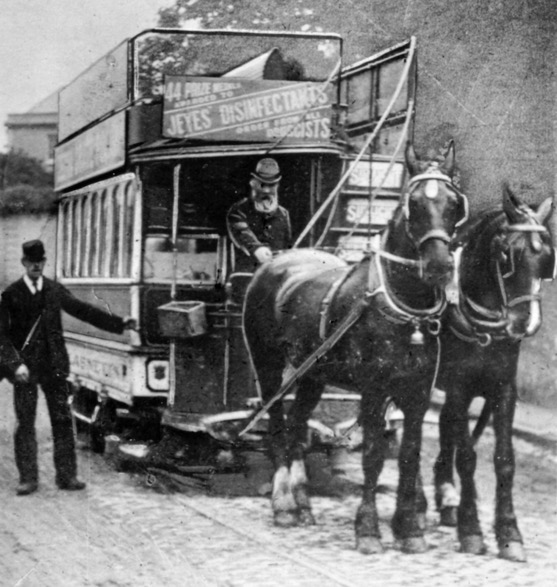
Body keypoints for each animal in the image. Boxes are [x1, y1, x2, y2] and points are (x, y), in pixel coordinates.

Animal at [241, 140, 466, 552]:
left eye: (454, 202)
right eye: (413, 203)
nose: (439, 266)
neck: (404, 308)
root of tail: (275, 263)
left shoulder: (417, 392)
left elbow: (409, 455)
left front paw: (409, 530)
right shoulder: (374, 391)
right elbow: (374, 457)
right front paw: (368, 530)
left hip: (311, 374)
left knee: (297, 426)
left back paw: (303, 502)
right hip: (268, 366)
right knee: (278, 426)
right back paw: (284, 505)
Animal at [432, 186, 552, 564]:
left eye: (547, 258)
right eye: (506, 255)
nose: (524, 324)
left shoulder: (503, 390)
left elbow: (504, 459)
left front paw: (509, 533)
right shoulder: (458, 387)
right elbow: (469, 457)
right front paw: (471, 530)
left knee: (445, 425)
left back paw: (445, 495)